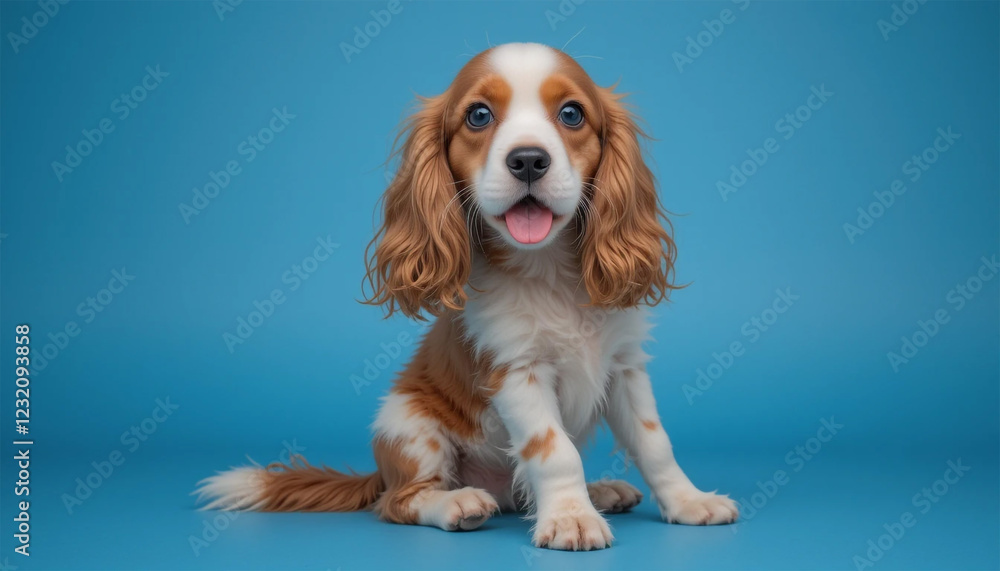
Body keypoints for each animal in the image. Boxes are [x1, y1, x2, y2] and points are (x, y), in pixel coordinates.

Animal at [197, 42, 737, 551]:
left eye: (571, 114)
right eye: (479, 115)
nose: (527, 160)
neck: (548, 271)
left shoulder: (625, 367)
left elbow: (654, 443)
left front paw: (689, 502)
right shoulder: (515, 372)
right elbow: (555, 452)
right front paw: (571, 519)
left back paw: (602, 491)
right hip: (410, 429)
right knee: (400, 502)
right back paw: (459, 503)